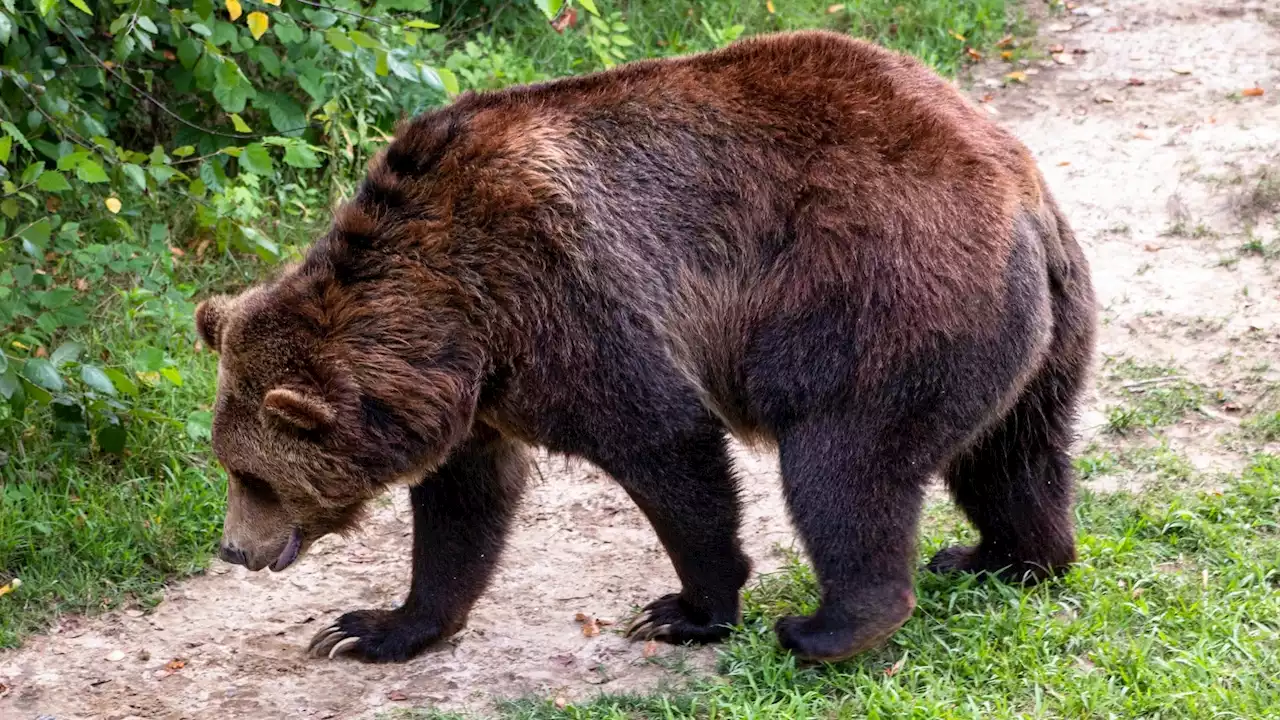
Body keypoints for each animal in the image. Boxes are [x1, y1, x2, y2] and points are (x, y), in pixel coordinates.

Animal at [194, 32, 1095, 661]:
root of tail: (1020, 191)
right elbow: (463, 507)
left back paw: (829, 626)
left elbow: (666, 444)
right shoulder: (476, 391)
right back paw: (998, 556)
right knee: (1014, 454)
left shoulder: (565, 300)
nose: (236, 549)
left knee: (846, 463)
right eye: (230, 466)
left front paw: (687, 610)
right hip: (1037, 333)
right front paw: (373, 627)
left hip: (879, 300)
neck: (453, 316)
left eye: (255, 475)